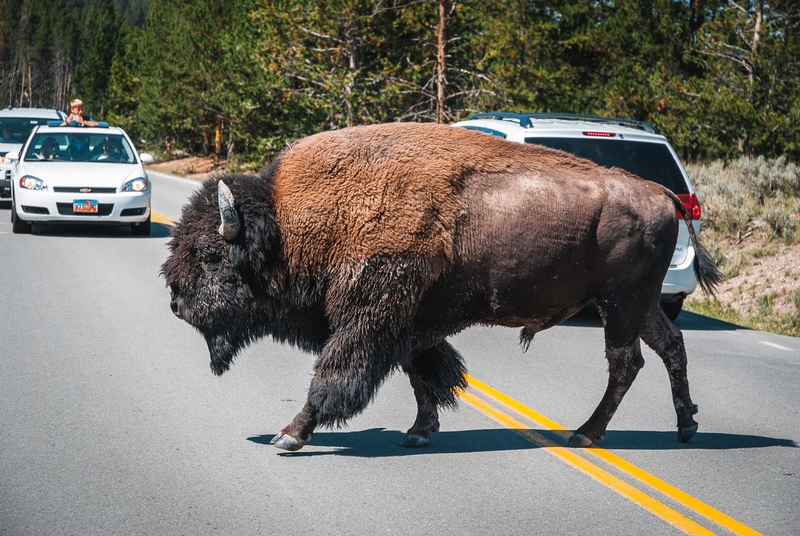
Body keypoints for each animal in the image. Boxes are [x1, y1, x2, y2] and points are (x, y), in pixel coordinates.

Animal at [161, 119, 720, 450]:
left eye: (211, 255)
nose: (176, 304)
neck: (290, 223)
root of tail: (665, 194)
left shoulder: (369, 318)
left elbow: (335, 372)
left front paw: (290, 435)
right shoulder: (410, 320)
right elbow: (421, 371)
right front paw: (419, 431)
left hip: (620, 303)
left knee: (626, 362)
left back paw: (586, 433)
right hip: (637, 303)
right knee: (670, 346)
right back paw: (686, 425)